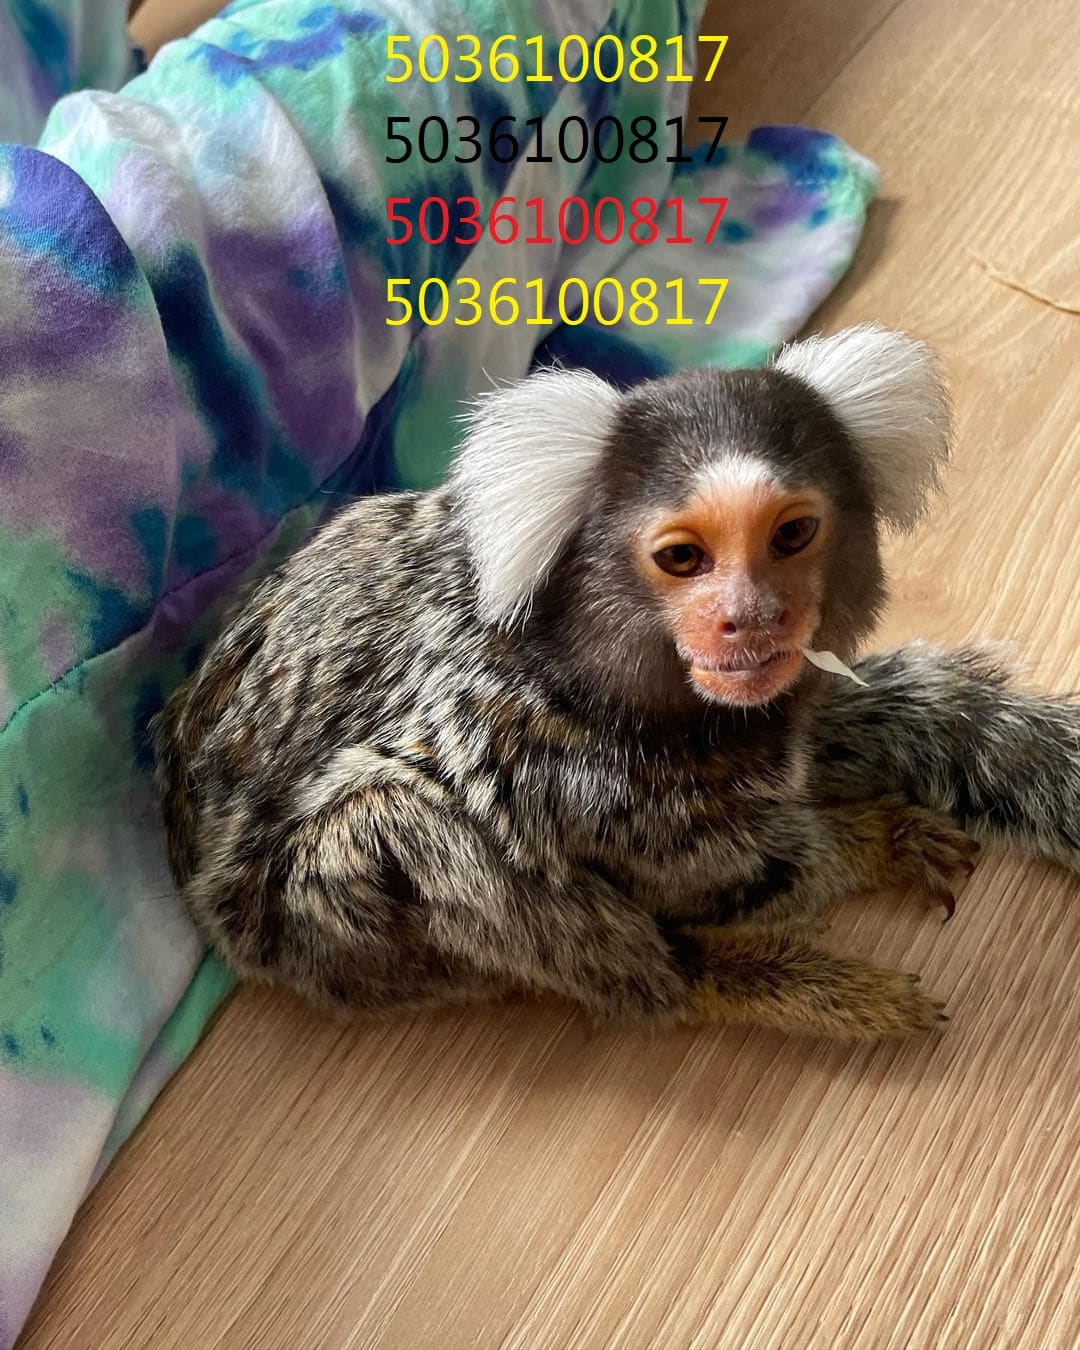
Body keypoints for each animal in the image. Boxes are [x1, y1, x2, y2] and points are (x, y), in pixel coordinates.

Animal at [153, 325, 1080, 1041]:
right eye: (683, 558)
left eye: (791, 536)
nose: (750, 617)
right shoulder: (554, 762)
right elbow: (734, 873)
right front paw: (858, 847)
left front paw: (875, 817)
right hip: (325, 936)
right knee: (413, 825)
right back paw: (743, 985)